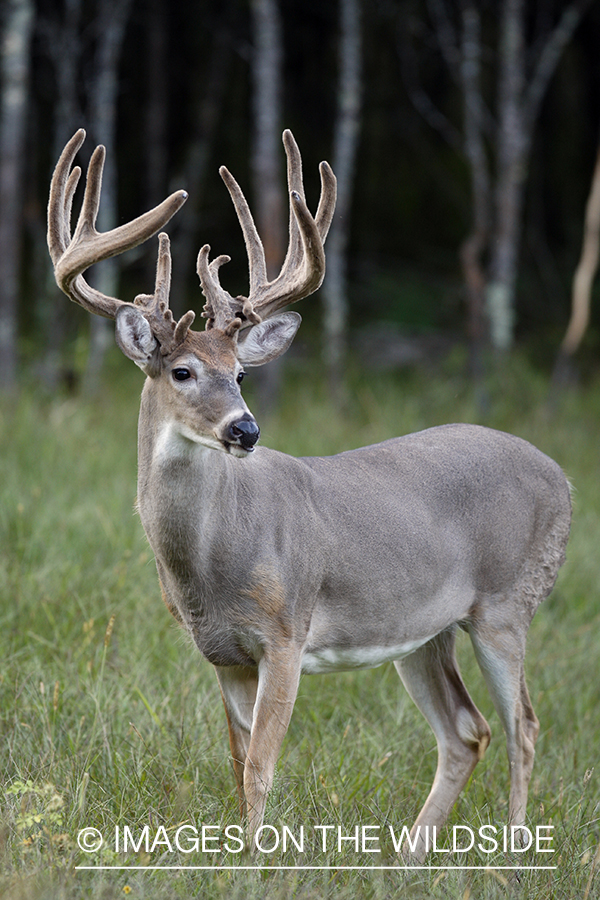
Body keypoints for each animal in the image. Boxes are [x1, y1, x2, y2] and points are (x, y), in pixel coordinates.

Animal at [48, 130, 572, 860]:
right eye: (182, 371)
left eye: (240, 374)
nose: (245, 429)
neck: (210, 563)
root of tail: (564, 478)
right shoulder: (222, 654)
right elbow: (237, 763)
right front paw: (240, 853)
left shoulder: (286, 632)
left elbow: (262, 765)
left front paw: (255, 863)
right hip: (424, 630)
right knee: (468, 731)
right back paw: (409, 859)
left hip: (506, 604)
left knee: (523, 724)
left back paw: (514, 859)